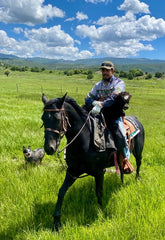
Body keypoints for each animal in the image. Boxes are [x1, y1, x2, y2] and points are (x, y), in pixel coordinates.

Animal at [41, 93, 144, 231]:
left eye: (58, 119)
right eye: (43, 118)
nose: (49, 148)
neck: (84, 140)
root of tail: (136, 119)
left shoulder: (100, 171)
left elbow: (99, 192)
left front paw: (100, 212)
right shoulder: (72, 171)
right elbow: (61, 191)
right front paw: (56, 222)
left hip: (138, 151)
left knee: (138, 163)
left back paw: (137, 178)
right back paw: (121, 181)